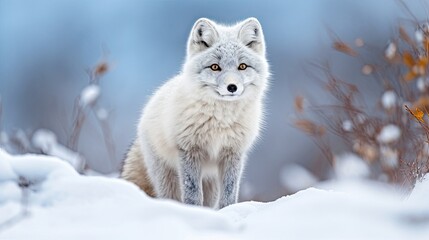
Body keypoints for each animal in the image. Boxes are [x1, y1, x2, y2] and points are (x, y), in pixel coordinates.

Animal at [120, 17, 268, 208]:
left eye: (242, 66)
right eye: (215, 67)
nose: (232, 87)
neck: (221, 119)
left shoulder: (233, 152)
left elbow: (230, 192)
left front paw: (228, 209)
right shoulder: (189, 150)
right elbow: (192, 192)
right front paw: (193, 210)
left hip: (211, 182)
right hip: (167, 178)